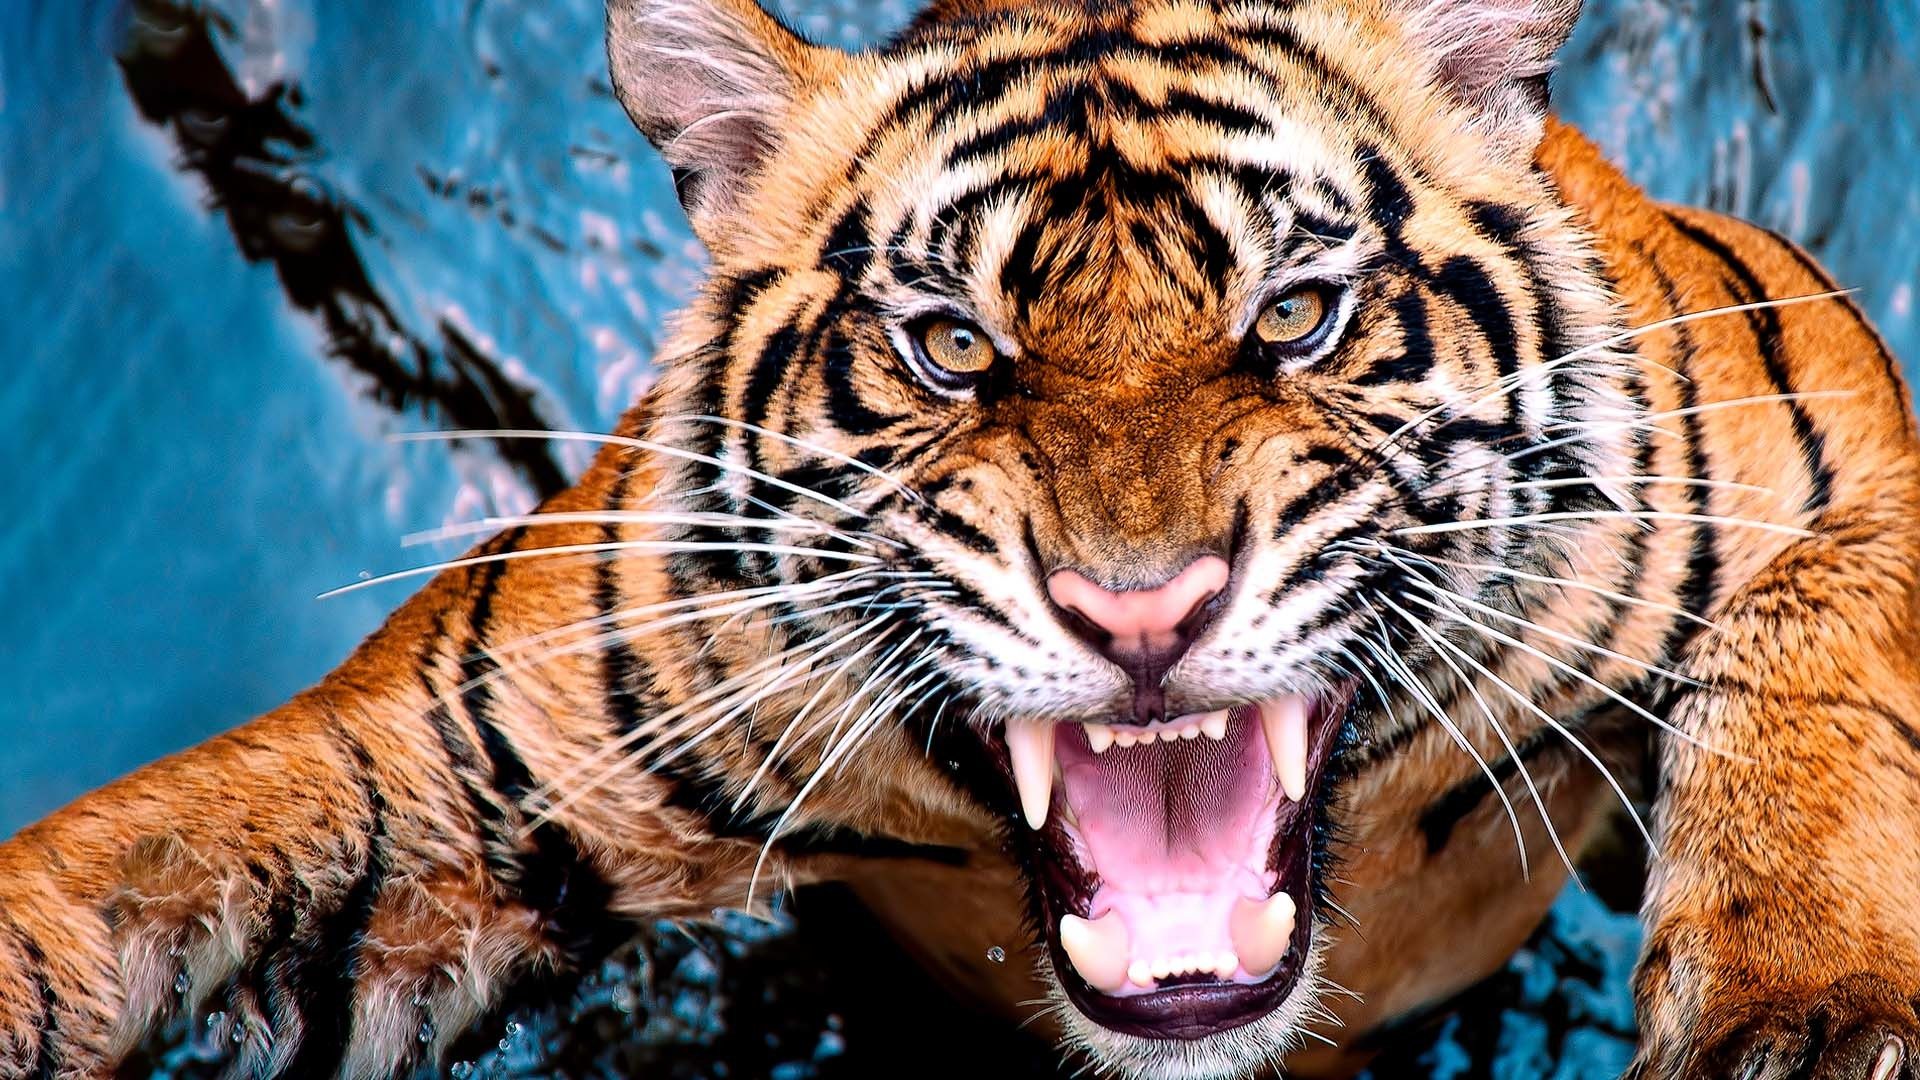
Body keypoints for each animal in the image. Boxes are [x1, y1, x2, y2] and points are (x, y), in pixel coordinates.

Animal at [4, 0, 1919, 1076]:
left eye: (1295, 317)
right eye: (949, 345)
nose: (1142, 612)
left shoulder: (1825, 411)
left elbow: (1818, 639)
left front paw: (1801, 1013)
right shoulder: (450, 765)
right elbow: (159, 846)